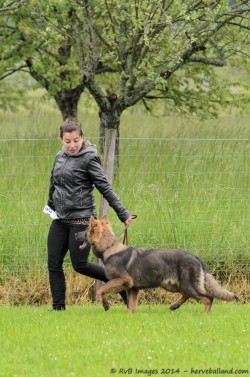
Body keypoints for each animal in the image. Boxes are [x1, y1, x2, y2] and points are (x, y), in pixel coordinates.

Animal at [75, 214, 239, 312]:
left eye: (85, 230)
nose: (75, 234)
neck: (109, 247)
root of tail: (195, 256)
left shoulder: (124, 280)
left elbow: (101, 289)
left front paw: (105, 304)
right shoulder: (133, 289)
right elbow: (131, 308)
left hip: (186, 285)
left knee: (208, 298)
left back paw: (205, 315)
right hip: (173, 285)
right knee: (188, 295)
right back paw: (175, 306)